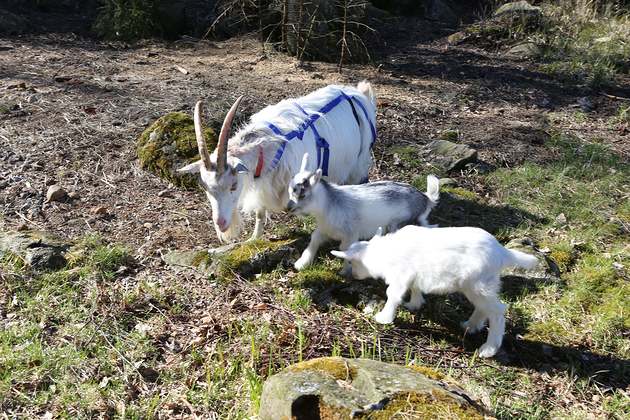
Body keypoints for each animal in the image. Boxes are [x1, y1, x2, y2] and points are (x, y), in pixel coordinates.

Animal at [178, 81, 377, 243]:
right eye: (205, 187)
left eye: (233, 185)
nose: (221, 223)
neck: (267, 144)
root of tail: (359, 94)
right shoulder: (262, 187)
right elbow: (259, 213)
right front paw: (253, 239)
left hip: (358, 162)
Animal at [287, 153, 440, 274]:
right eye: (290, 190)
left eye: (303, 195)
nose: (288, 208)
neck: (330, 204)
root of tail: (426, 199)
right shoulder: (325, 229)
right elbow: (314, 238)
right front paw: (301, 263)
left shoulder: (350, 234)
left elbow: (344, 249)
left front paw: (346, 271)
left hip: (397, 224)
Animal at [331, 225, 539, 358]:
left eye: (351, 262)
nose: (354, 276)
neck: (382, 253)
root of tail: (503, 252)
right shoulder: (413, 276)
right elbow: (415, 288)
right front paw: (414, 304)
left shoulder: (400, 276)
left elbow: (393, 295)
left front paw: (384, 318)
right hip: (481, 286)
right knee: (483, 308)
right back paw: (471, 326)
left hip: (477, 285)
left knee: (497, 311)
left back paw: (488, 349)